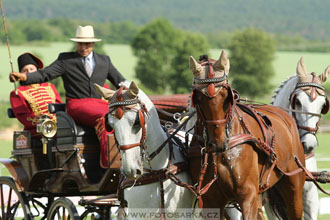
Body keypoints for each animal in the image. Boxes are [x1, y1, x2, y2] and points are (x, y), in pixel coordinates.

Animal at [188, 50, 306, 219]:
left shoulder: (247, 194)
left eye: (226, 96)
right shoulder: (211, 201)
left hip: (294, 186)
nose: (217, 142)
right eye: (198, 97)